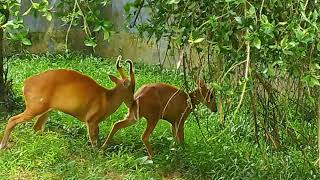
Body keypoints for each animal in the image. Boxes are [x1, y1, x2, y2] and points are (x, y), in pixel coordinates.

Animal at [0, 56, 135, 149]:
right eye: (132, 88)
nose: (132, 102)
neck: (107, 99)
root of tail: (25, 85)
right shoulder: (92, 119)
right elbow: (93, 139)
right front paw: (97, 153)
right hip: (35, 106)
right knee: (13, 119)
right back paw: (4, 145)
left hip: (47, 108)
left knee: (36, 127)